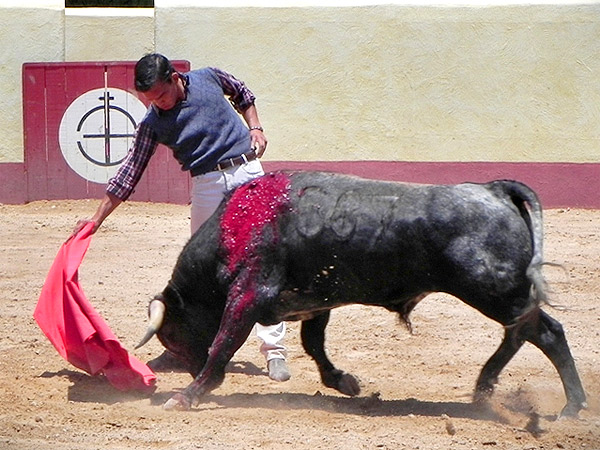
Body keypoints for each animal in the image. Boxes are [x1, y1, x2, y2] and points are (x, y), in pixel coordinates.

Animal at [136, 171, 584, 416]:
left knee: (546, 333)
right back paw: (484, 388)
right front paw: (345, 382)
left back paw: (570, 406)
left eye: (172, 336)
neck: (237, 226)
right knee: (521, 333)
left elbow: (223, 342)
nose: (193, 373)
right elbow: (314, 345)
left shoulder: (249, 295)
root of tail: (492, 189)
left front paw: (188, 395)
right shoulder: (315, 301)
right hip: (502, 295)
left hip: (495, 290)